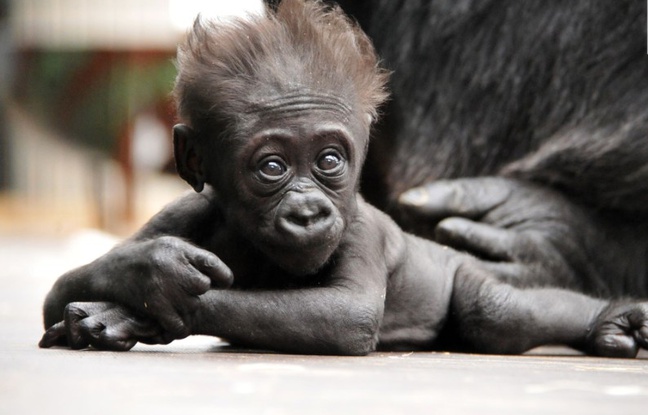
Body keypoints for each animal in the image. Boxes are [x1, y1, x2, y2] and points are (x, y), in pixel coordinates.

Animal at [39, 0, 648, 358]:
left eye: (330, 160)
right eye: (272, 167)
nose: (309, 211)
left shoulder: (359, 229)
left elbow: (347, 315)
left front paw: (142, 301)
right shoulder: (184, 208)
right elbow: (59, 288)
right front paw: (147, 271)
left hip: (460, 272)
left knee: (494, 313)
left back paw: (605, 318)